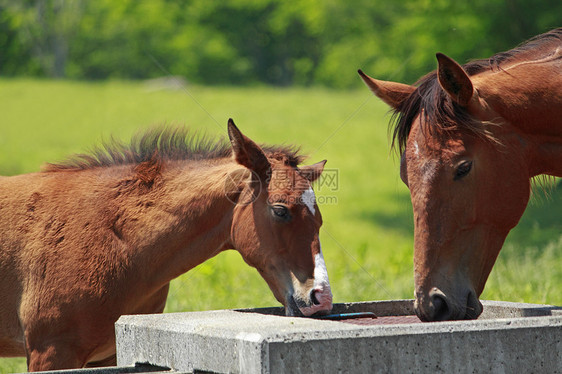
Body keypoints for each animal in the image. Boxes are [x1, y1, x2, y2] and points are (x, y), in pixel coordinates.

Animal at [0, 118, 330, 370]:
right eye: (280, 210)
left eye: (319, 220)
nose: (321, 298)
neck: (116, 242)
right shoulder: (51, 351)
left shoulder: (110, 354)